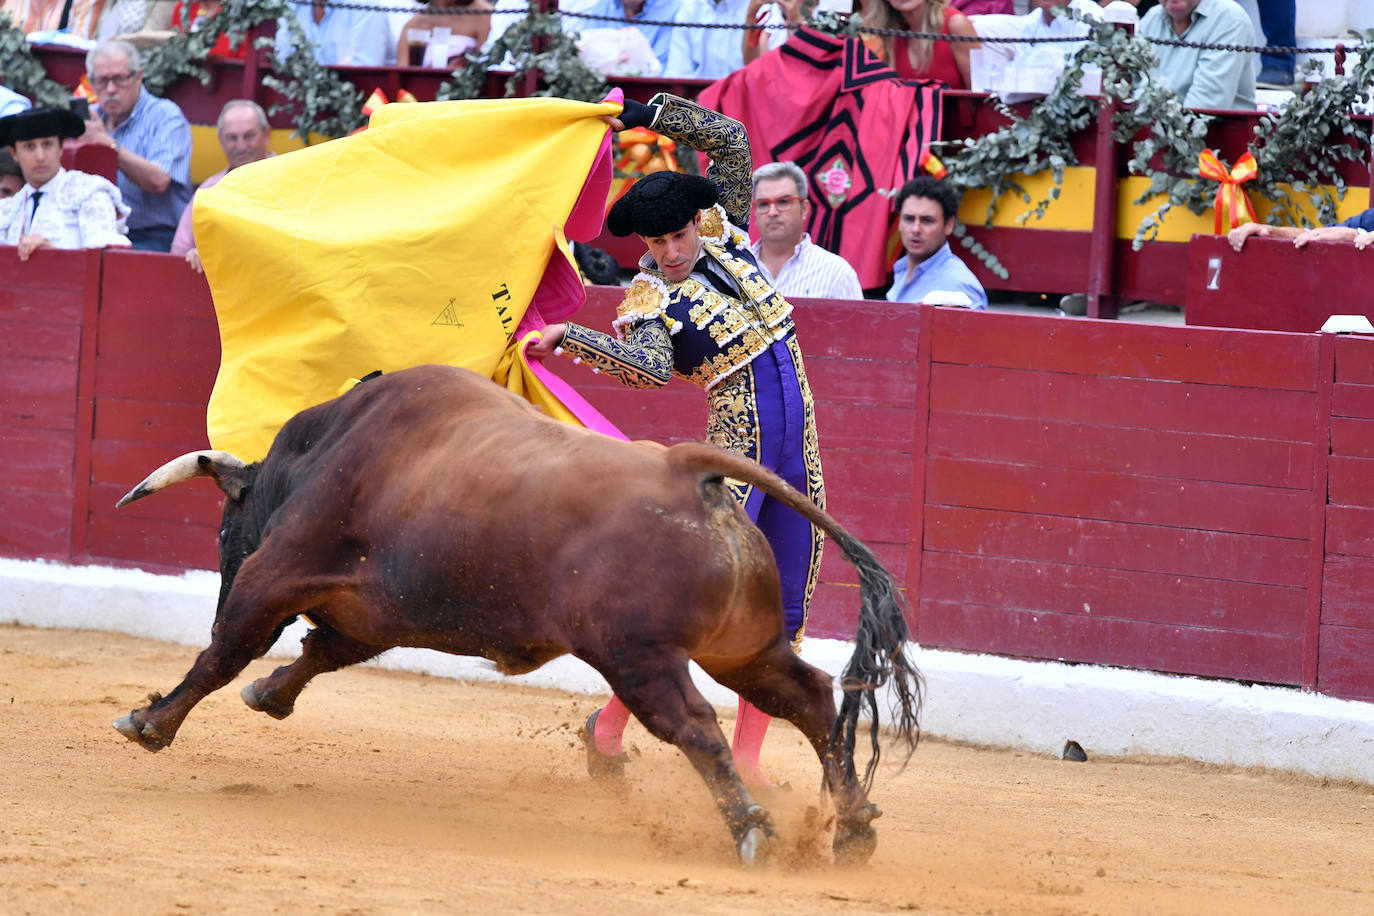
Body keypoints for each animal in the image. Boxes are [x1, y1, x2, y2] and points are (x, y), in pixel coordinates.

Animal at [115, 362, 923, 862]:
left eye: (225, 532)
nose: (222, 570)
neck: (322, 450)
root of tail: (685, 470)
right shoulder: (376, 612)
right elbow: (321, 651)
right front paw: (268, 695)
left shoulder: (277, 570)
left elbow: (227, 650)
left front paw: (150, 721)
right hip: (744, 650)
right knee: (809, 698)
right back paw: (853, 828)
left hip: (640, 659)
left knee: (696, 726)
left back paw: (753, 830)